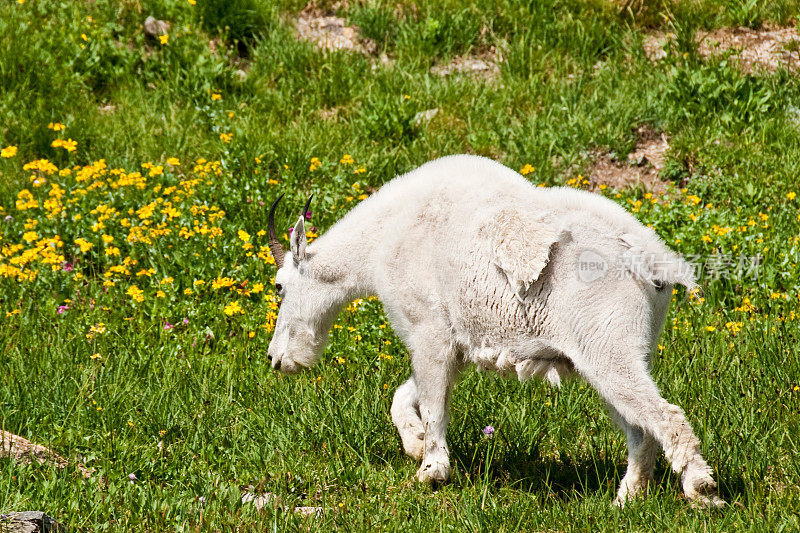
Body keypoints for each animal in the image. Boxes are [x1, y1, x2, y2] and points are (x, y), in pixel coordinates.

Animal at [266, 155, 720, 508]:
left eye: (279, 286)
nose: (275, 359)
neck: (383, 238)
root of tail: (653, 260)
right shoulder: (455, 345)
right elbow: (406, 395)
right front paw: (414, 444)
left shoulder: (427, 330)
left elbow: (434, 404)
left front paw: (430, 470)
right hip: (618, 352)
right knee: (639, 429)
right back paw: (626, 499)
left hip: (608, 347)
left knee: (664, 416)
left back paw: (701, 490)